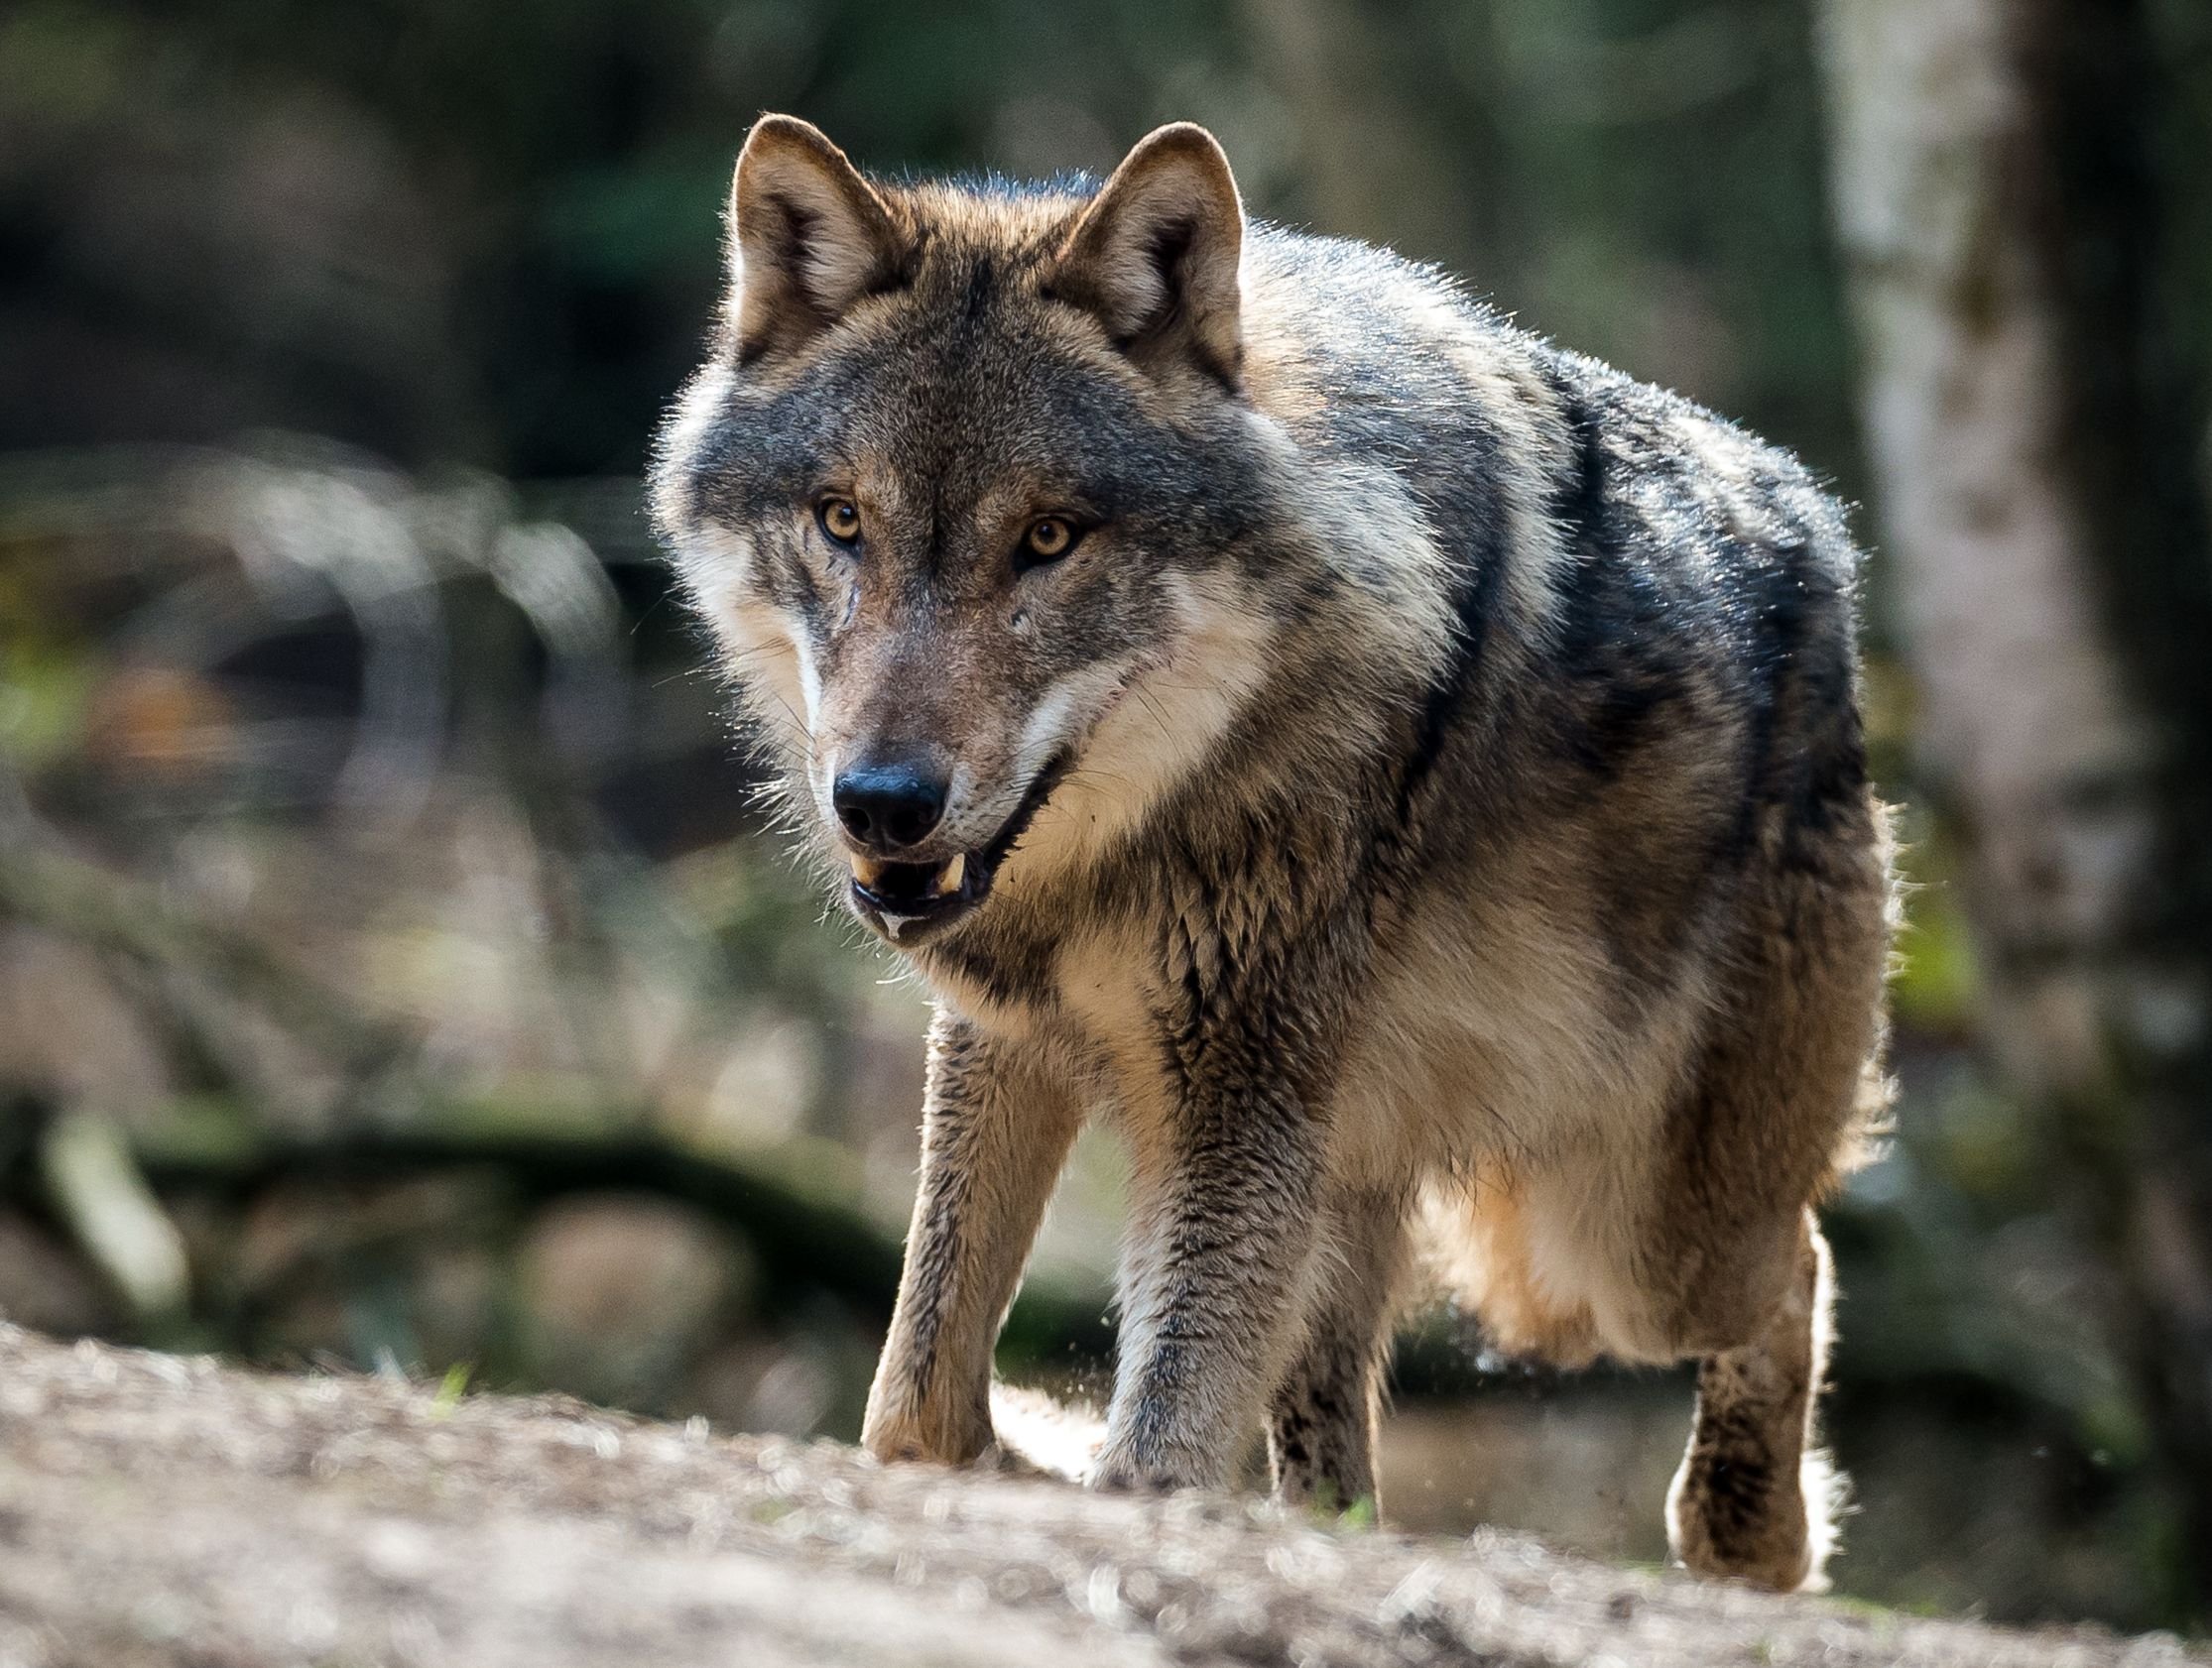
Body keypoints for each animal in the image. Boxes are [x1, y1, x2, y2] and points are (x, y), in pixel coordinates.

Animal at [650, 114, 1894, 1593]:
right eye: (842, 520)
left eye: (1049, 537)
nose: (883, 802)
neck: (1117, 853)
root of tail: (1820, 528)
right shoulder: (1007, 1039)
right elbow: (915, 1407)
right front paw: (1037, 1446)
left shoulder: (1232, 1096)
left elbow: (1154, 1447)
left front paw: (1106, 1474)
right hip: (1360, 1173)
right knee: (1334, 1446)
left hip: (1617, 1243)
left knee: (1796, 1262)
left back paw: (1749, 1537)